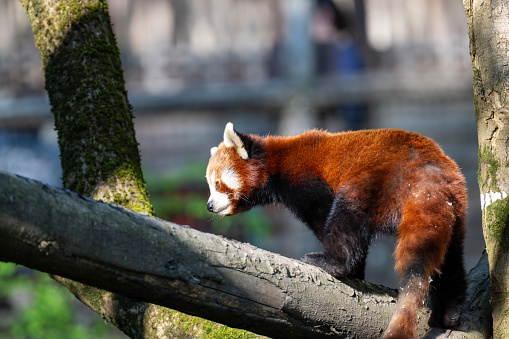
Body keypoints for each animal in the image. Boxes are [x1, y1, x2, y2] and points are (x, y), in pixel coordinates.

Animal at [205, 123, 464, 339]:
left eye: (217, 184)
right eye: (209, 185)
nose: (209, 206)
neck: (276, 162)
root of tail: (428, 168)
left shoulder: (305, 178)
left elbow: (323, 214)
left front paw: (354, 271)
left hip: (376, 183)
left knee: (347, 218)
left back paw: (332, 262)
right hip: (453, 206)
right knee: (450, 258)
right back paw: (449, 313)